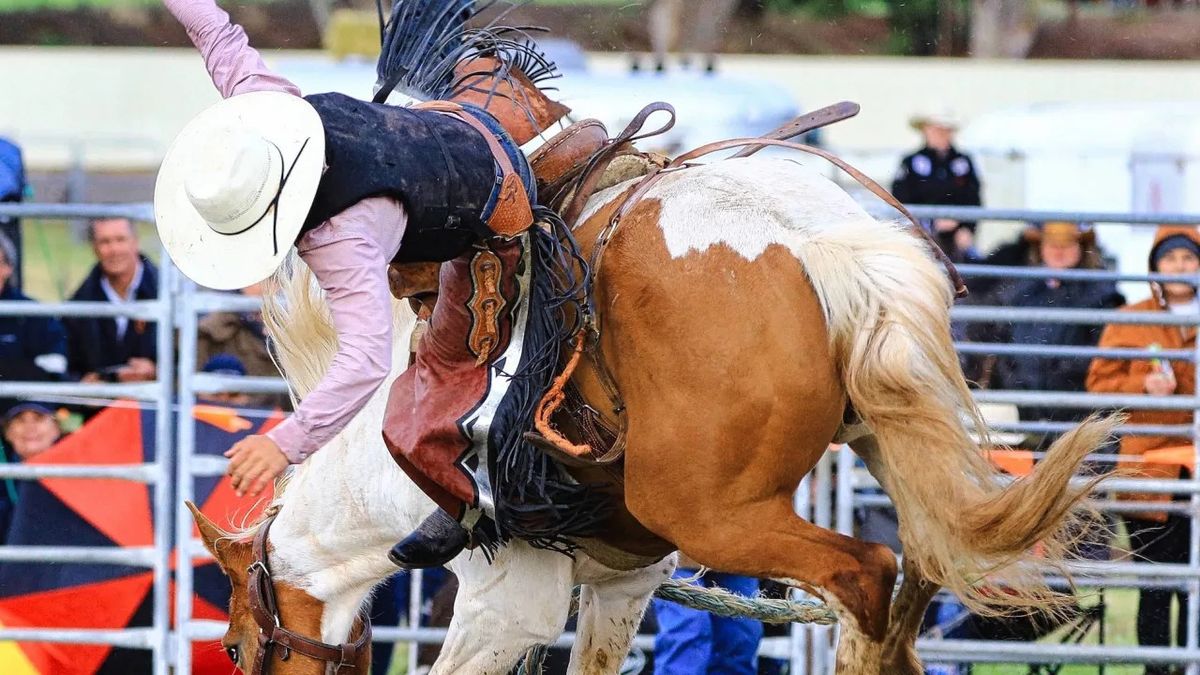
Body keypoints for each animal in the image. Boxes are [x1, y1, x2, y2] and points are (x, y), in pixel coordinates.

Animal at [187, 153, 1113, 672]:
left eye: (232, 644)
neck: (380, 465)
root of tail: (810, 242)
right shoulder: (622, 587)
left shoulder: (504, 600)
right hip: (898, 441)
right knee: (918, 571)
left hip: (713, 512)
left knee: (866, 574)